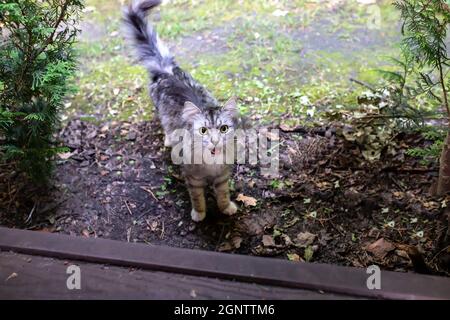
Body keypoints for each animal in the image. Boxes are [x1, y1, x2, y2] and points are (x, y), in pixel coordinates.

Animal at [123, 0, 239, 222]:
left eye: (223, 129)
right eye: (203, 130)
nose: (214, 141)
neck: (211, 163)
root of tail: (167, 71)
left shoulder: (222, 177)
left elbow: (223, 195)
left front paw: (227, 208)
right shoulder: (192, 178)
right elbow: (198, 199)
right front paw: (199, 215)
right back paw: (168, 141)